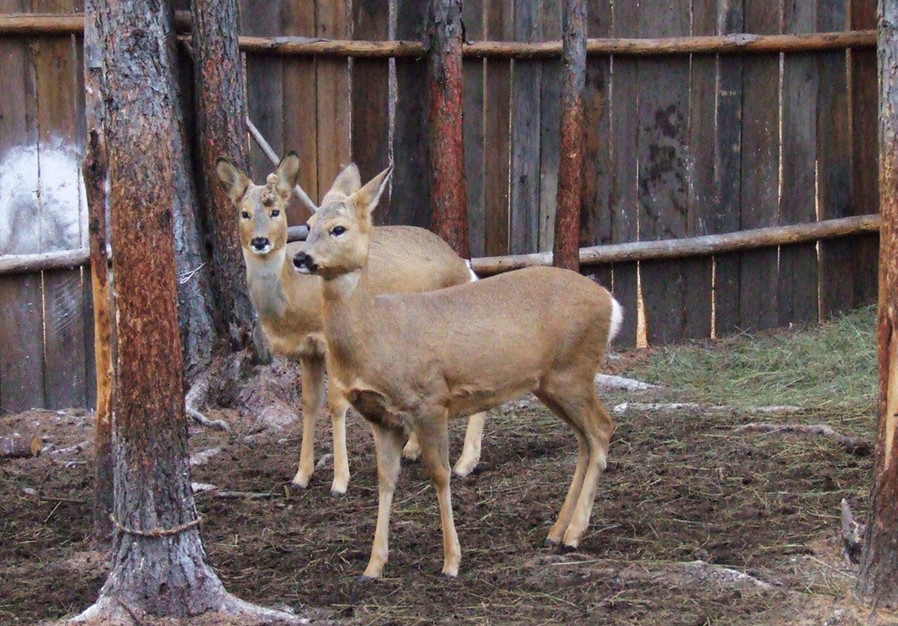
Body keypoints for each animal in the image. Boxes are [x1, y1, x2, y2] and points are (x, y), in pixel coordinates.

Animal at [214, 151, 486, 492]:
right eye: (244, 213)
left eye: (276, 211)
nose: (261, 241)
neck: (293, 299)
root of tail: (465, 266)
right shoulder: (308, 350)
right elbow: (309, 402)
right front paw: (301, 475)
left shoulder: (330, 342)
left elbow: (336, 403)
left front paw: (340, 480)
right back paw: (416, 450)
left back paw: (465, 462)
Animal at [294, 165, 624, 576]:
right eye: (308, 225)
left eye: (338, 228)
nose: (300, 257)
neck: (377, 334)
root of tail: (611, 303)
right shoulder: (382, 417)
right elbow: (386, 480)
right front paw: (373, 566)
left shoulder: (430, 400)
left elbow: (440, 474)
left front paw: (451, 561)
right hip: (552, 382)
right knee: (585, 438)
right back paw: (556, 533)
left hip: (573, 371)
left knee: (602, 429)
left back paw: (574, 534)